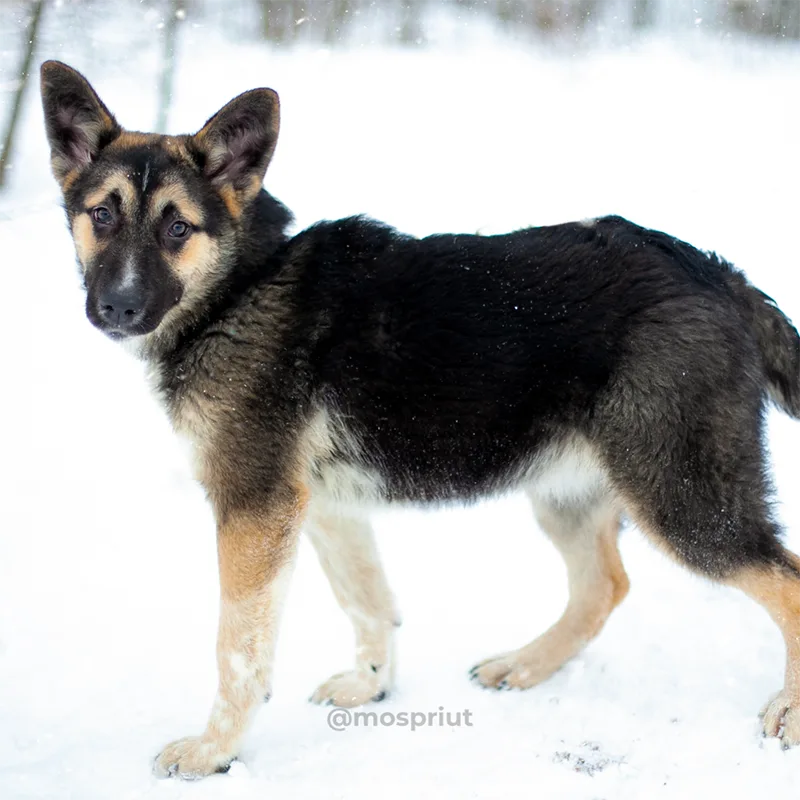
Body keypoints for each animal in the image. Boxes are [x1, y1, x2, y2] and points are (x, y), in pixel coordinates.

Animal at [40, 57, 800, 780]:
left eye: (177, 227)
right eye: (102, 215)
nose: (117, 307)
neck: (240, 286)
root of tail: (717, 275)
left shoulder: (253, 509)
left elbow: (238, 651)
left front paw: (213, 752)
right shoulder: (324, 509)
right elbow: (369, 604)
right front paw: (372, 687)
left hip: (683, 501)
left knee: (784, 584)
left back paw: (789, 711)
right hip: (567, 490)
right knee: (603, 587)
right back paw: (524, 665)